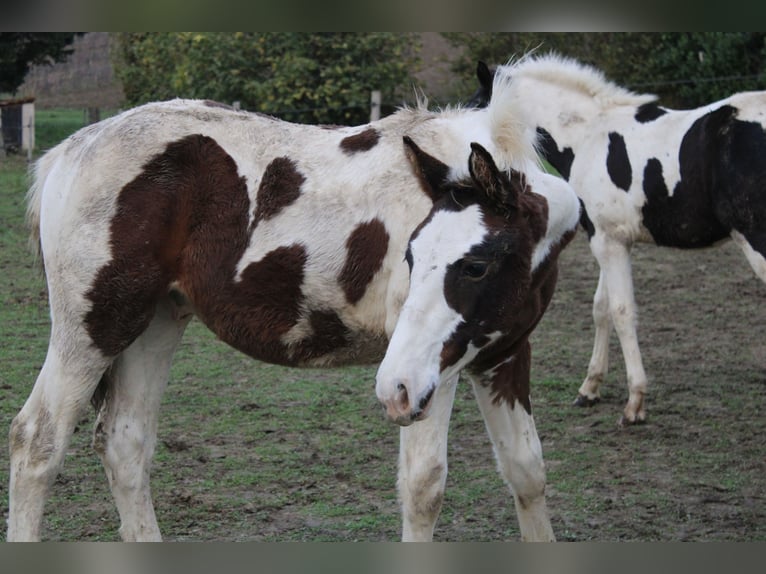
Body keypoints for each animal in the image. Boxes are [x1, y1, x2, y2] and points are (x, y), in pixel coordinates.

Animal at [7, 92, 584, 544]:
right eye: (412, 255)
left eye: (476, 265)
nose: (392, 388)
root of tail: (69, 152)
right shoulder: (431, 372)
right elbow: (425, 488)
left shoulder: (500, 356)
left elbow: (527, 471)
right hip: (95, 328)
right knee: (36, 441)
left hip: (154, 324)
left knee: (125, 445)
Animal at [472, 55, 766, 428]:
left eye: (475, 106)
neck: (587, 136)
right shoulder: (608, 238)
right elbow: (602, 308)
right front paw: (590, 389)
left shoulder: (608, 243)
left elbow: (622, 311)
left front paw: (635, 403)